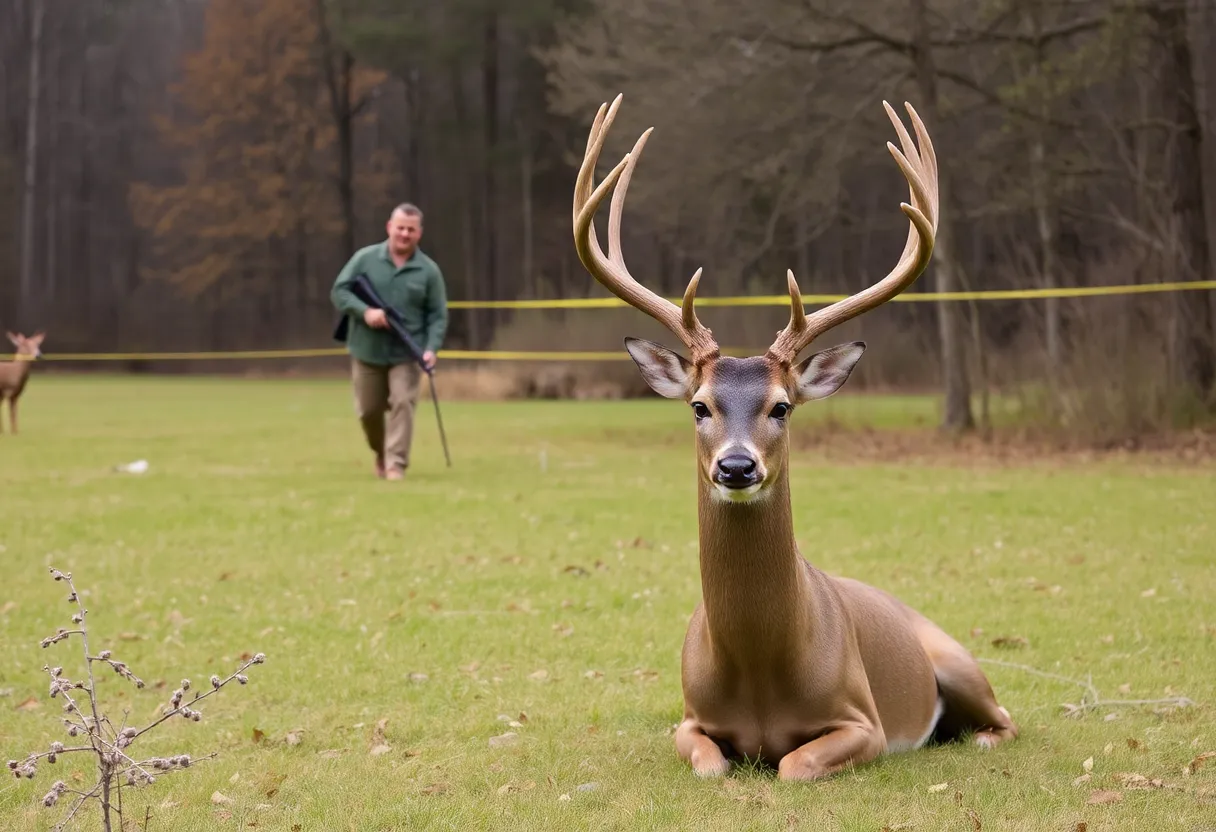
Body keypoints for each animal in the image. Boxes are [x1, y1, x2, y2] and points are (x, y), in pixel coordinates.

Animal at [573, 97, 1021, 778]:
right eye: (699, 406)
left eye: (781, 407)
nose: (736, 467)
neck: (759, 668)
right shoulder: (688, 719)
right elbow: (711, 763)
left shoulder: (863, 721)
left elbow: (793, 764)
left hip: (960, 660)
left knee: (1006, 719)